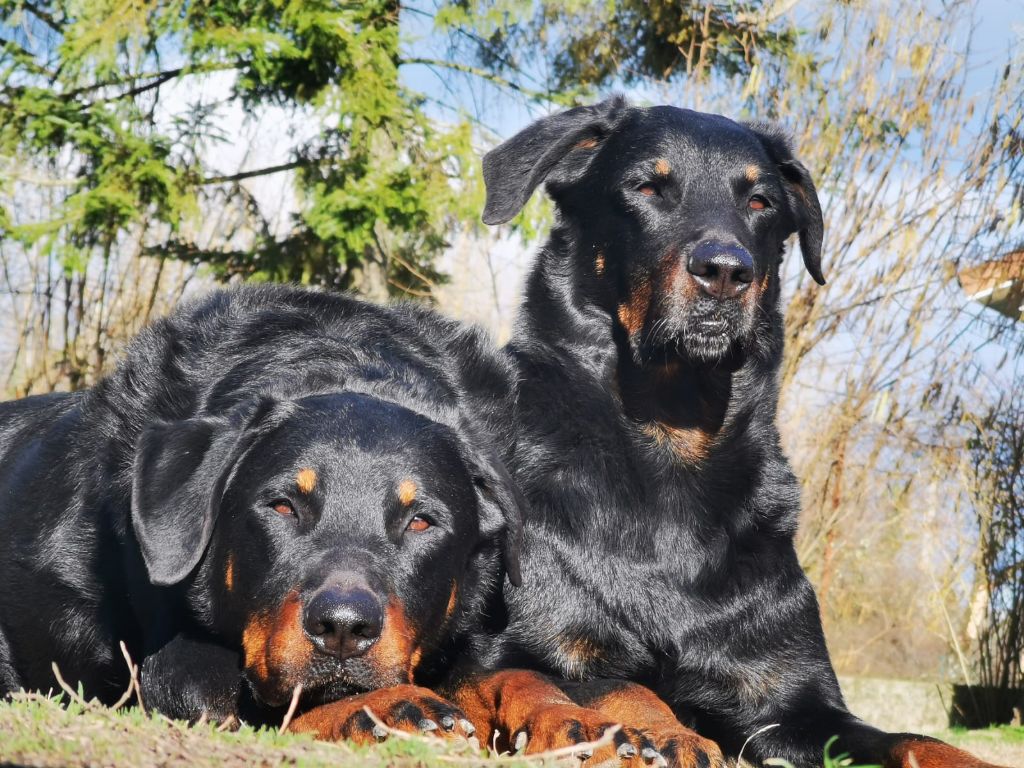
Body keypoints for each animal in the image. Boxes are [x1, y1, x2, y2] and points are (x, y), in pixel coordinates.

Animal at [452, 97, 1003, 768]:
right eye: (647, 187)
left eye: (760, 201)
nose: (724, 271)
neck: (670, 439)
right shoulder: (520, 647)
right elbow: (621, 684)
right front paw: (666, 734)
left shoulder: (794, 700)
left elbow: (916, 739)